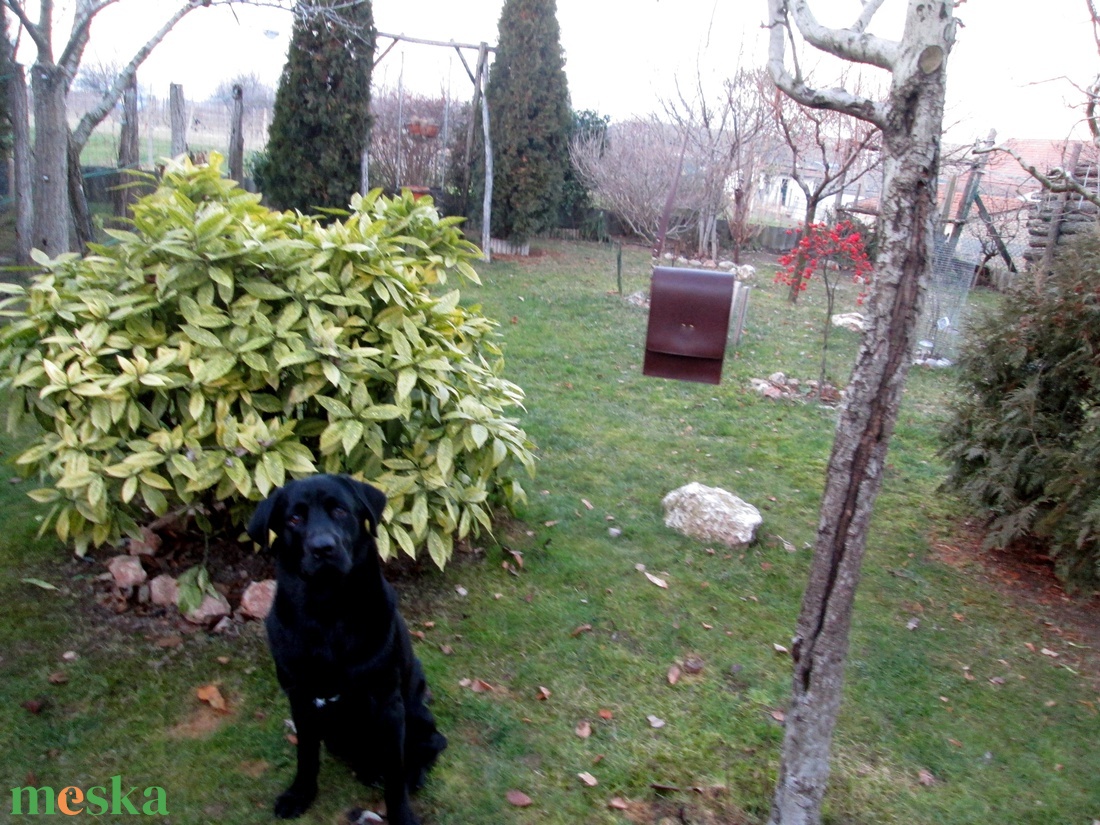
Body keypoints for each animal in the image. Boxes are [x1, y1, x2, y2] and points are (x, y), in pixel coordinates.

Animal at [249, 475, 446, 822]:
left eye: (340, 510)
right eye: (294, 518)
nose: (323, 548)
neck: (328, 610)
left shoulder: (387, 703)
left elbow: (395, 772)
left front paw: (401, 815)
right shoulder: (300, 698)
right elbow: (306, 755)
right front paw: (300, 794)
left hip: (417, 717)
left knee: (429, 747)